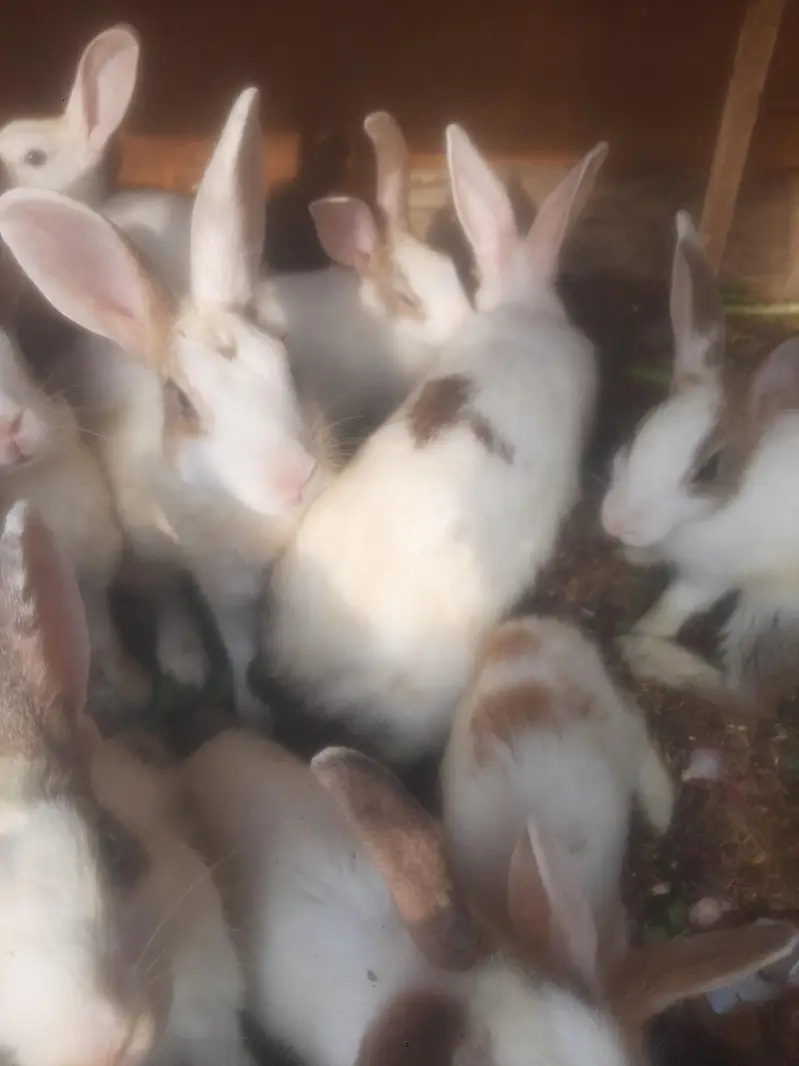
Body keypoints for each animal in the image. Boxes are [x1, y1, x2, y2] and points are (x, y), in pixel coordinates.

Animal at [600, 210, 799, 713]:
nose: (617, 522)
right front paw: (635, 556)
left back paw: (645, 654)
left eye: (707, 470)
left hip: (774, 608)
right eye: (638, 431)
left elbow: (674, 606)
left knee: (745, 696)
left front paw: (643, 629)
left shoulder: (710, 576)